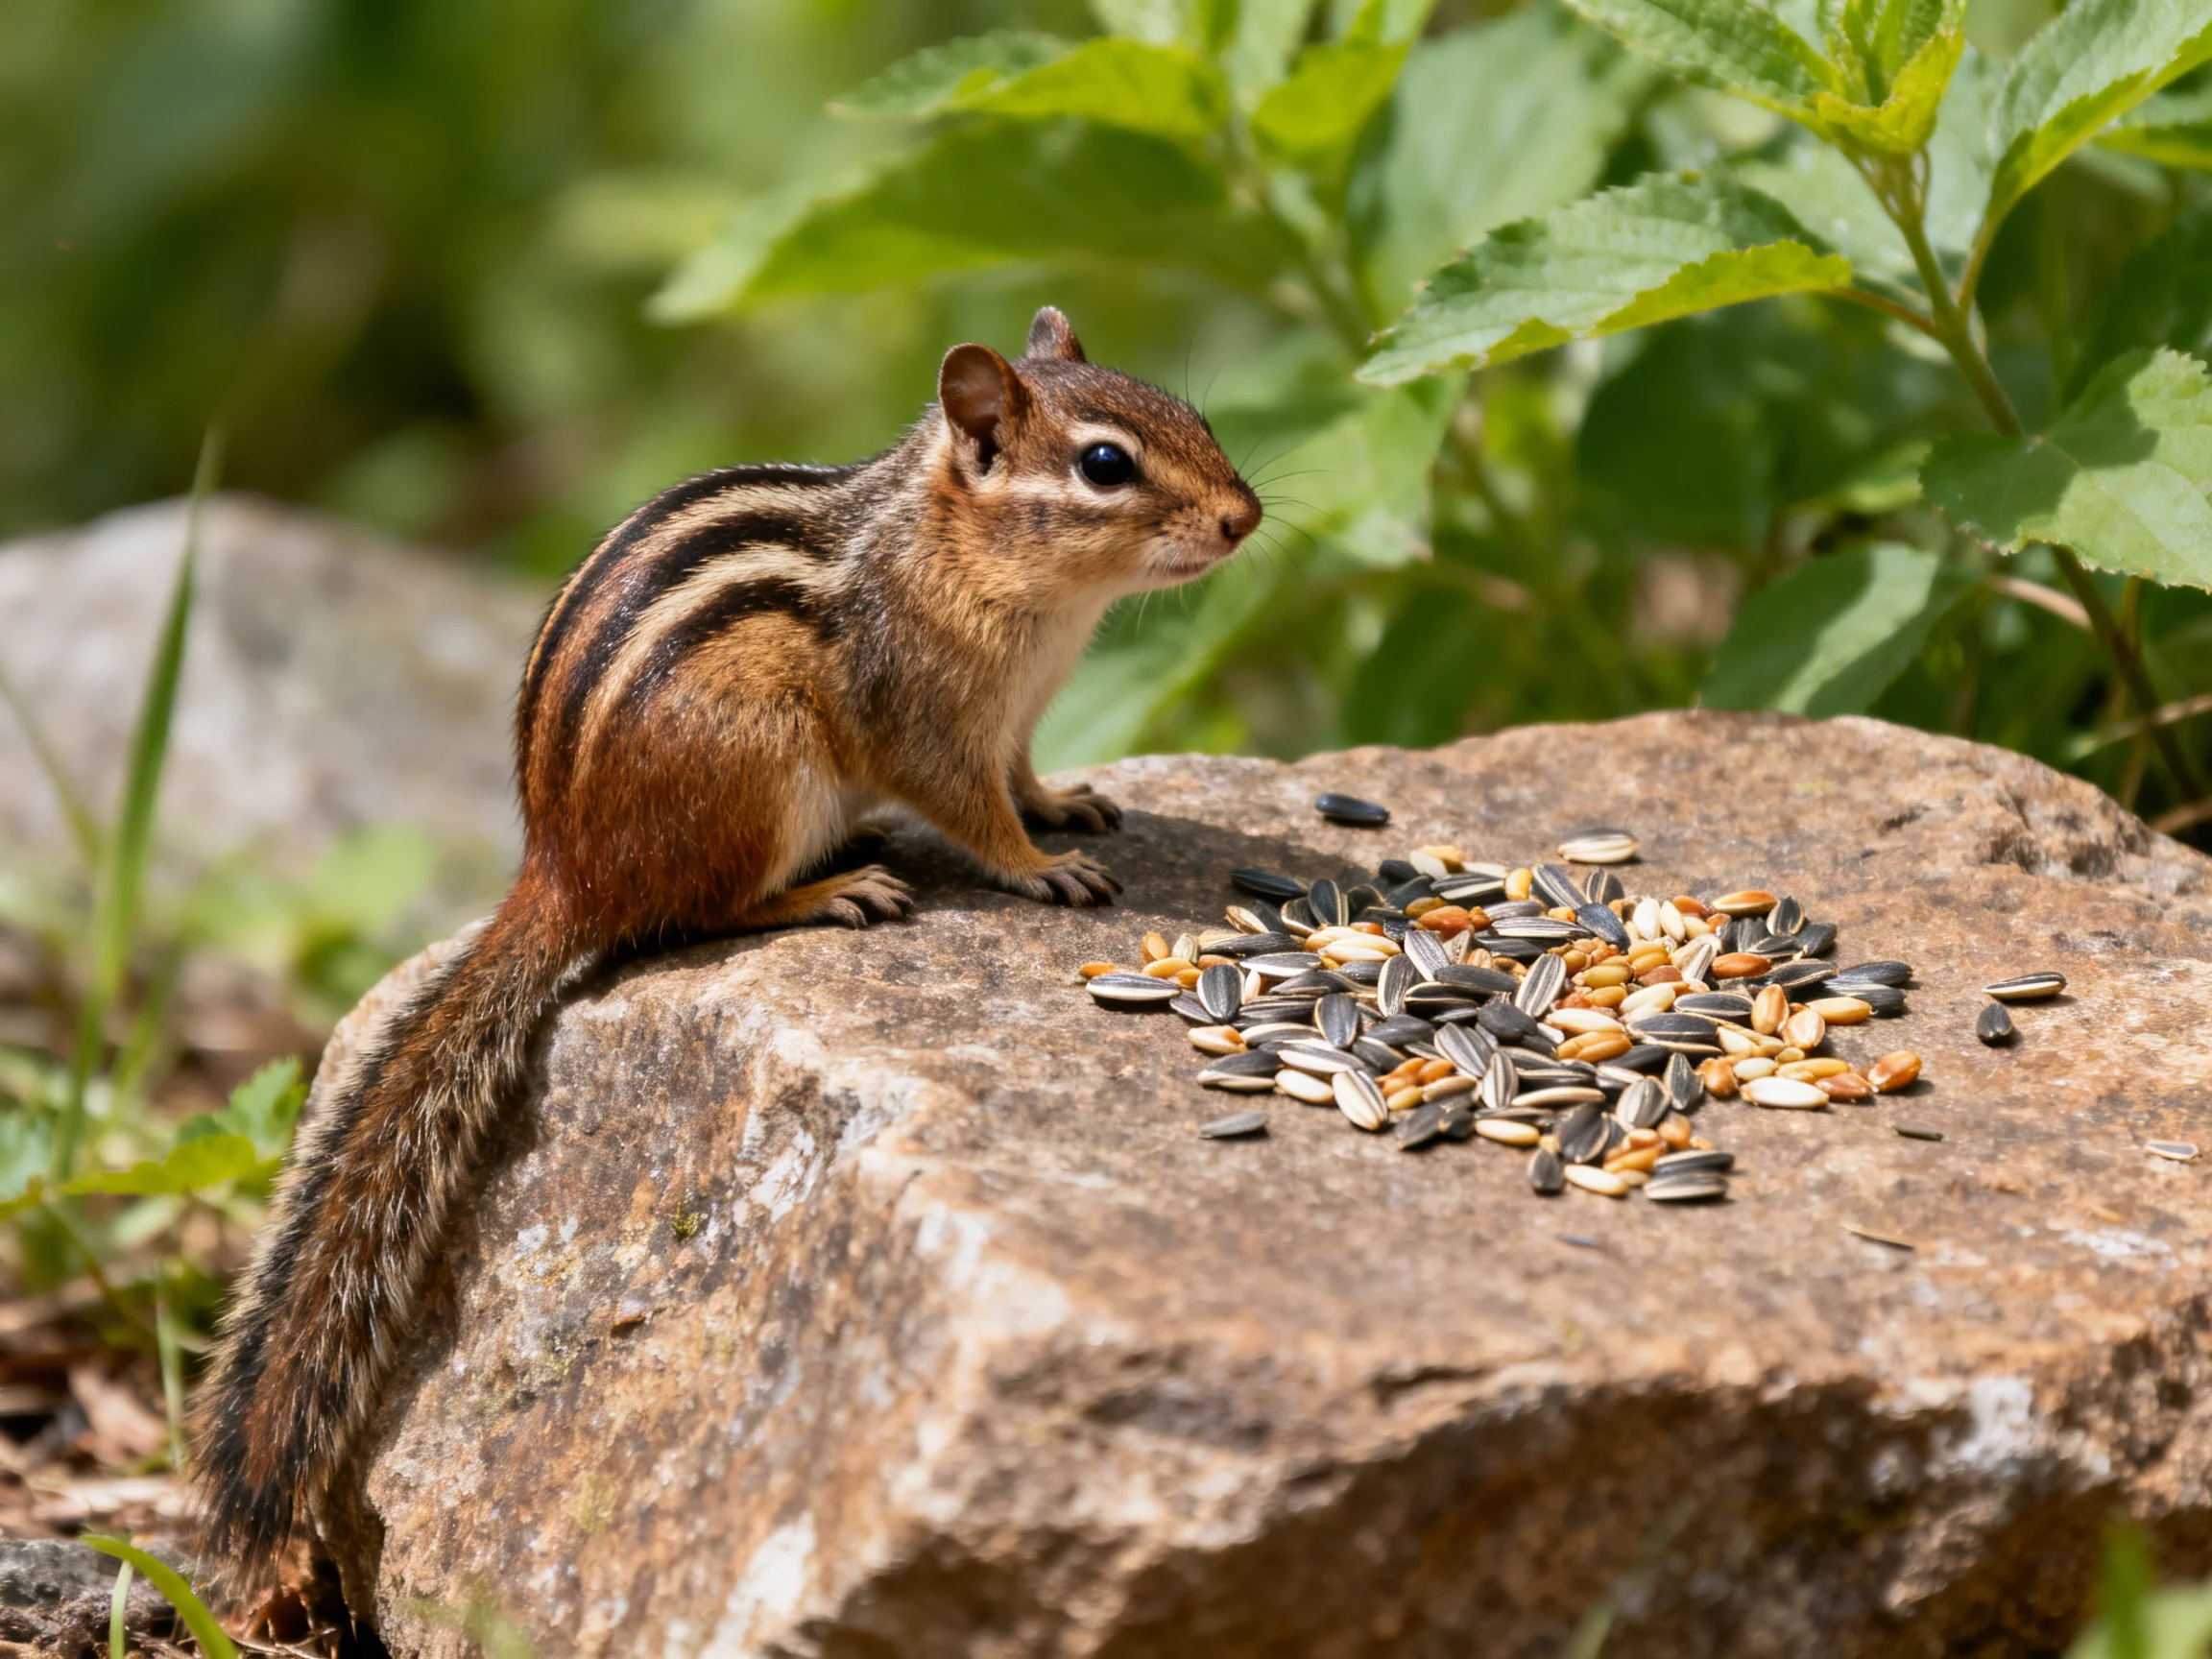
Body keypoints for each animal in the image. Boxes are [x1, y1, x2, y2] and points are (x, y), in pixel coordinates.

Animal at [191, 306, 1263, 1574]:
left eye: (1192, 416)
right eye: (1105, 464)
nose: (1247, 516)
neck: (981, 566)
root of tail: (562, 865)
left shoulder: (1014, 720)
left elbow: (1024, 777)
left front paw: (1070, 806)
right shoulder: (926, 724)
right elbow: (976, 814)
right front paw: (1041, 866)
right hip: (762, 767)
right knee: (699, 912)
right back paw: (829, 892)